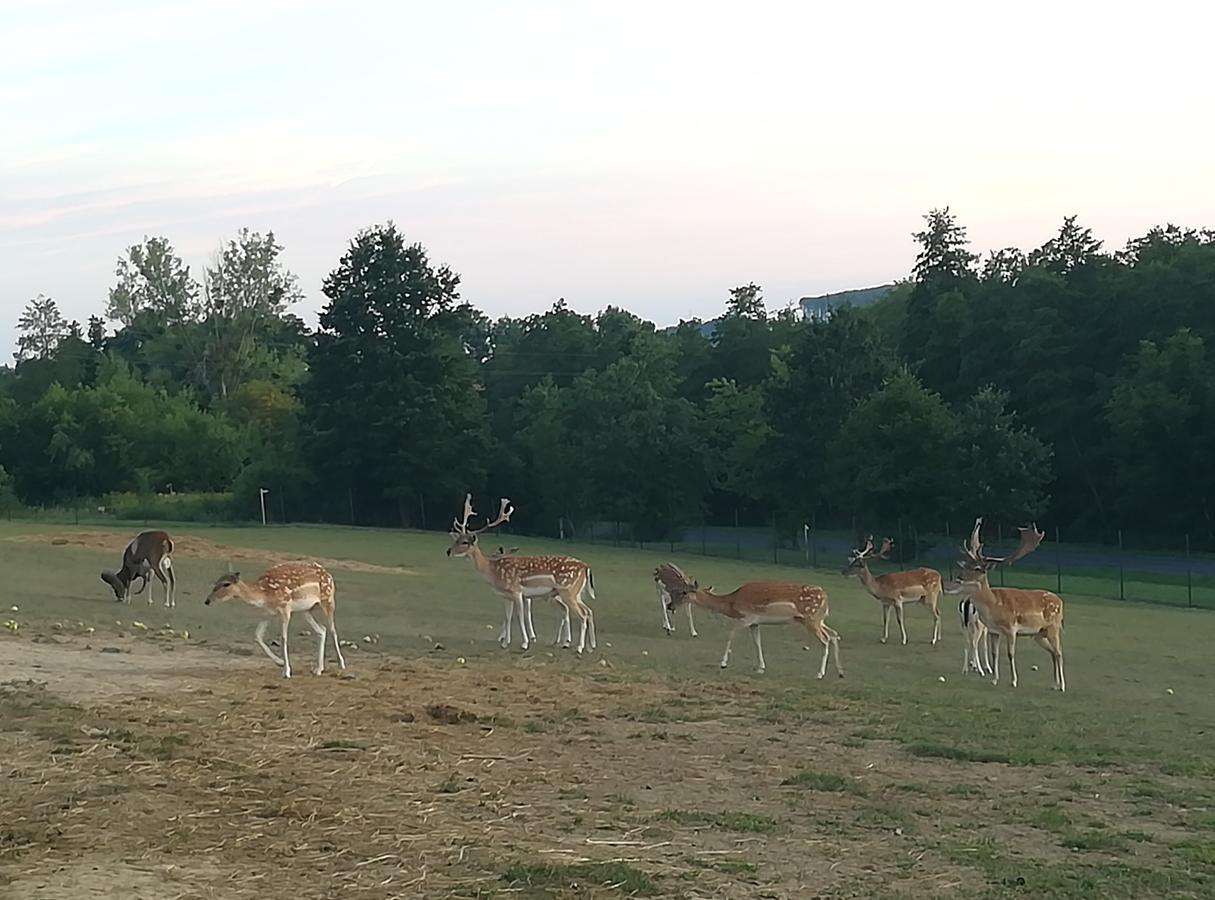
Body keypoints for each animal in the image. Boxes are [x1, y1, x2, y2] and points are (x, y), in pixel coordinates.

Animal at [447, 497, 597, 651]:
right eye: (456, 539)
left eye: (465, 542)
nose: (448, 551)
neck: (493, 572)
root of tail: (586, 567)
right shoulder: (506, 596)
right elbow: (507, 617)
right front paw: (504, 643)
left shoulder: (517, 591)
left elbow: (520, 616)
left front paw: (525, 643)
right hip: (574, 593)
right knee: (588, 611)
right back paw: (589, 645)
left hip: (568, 591)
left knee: (582, 614)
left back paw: (579, 647)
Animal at [656, 558, 845, 675]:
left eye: (683, 592)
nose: (670, 605)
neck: (732, 602)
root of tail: (826, 598)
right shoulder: (755, 622)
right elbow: (757, 642)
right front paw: (761, 667)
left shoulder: (746, 617)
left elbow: (731, 634)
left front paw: (723, 663)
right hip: (818, 619)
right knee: (834, 634)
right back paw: (840, 672)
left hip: (811, 618)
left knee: (825, 640)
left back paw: (820, 673)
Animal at [942, 514, 1069, 689]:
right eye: (965, 565)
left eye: (977, 569)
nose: (957, 579)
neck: (994, 606)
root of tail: (1060, 602)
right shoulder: (994, 631)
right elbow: (995, 653)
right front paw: (995, 679)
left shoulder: (1011, 628)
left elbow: (1010, 654)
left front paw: (1014, 681)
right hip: (1038, 633)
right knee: (1052, 652)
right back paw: (1055, 684)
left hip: (1053, 627)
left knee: (1059, 652)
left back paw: (1062, 685)